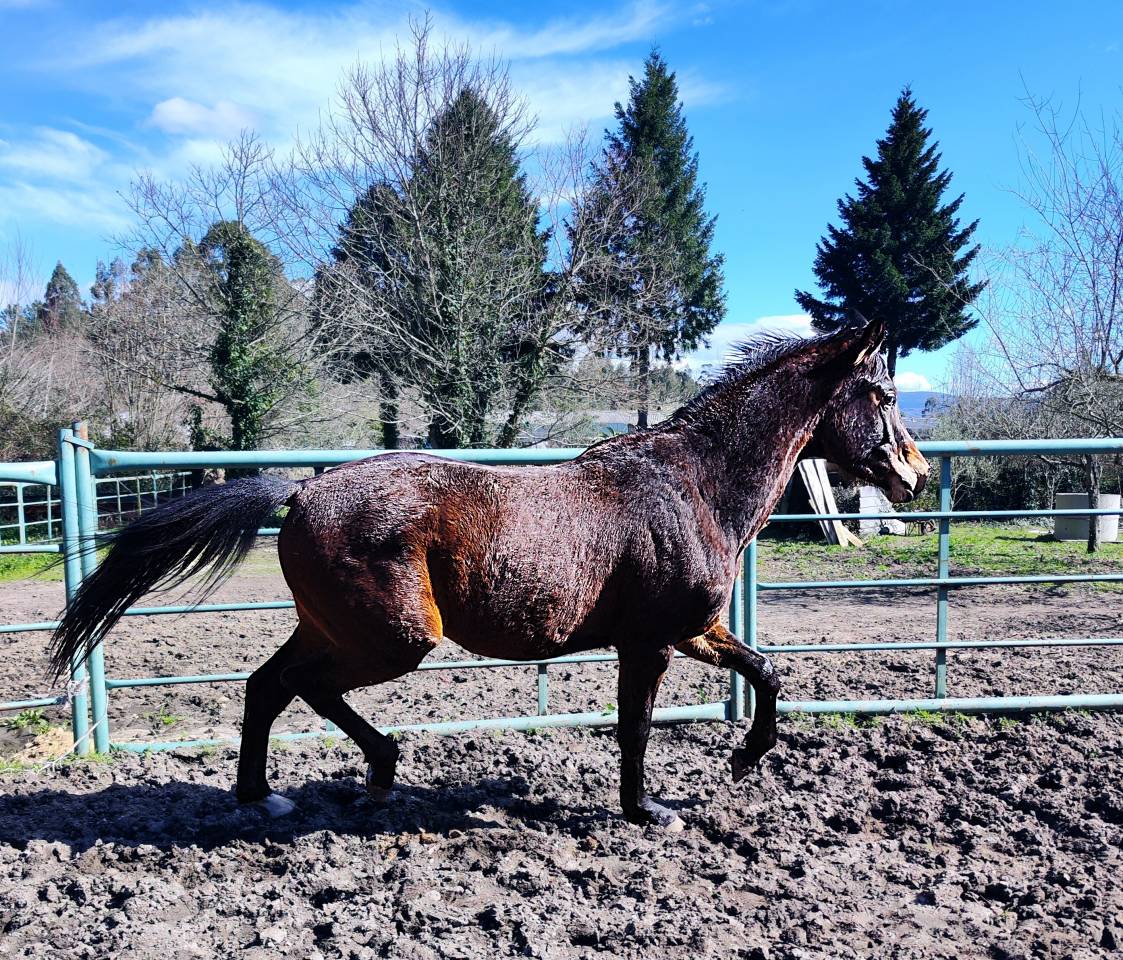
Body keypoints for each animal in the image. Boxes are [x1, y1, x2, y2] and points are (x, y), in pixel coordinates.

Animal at [49, 315, 928, 831]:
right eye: (883, 393)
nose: (915, 477)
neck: (693, 485)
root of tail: (301, 491)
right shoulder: (648, 644)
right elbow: (637, 727)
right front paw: (646, 809)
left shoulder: (694, 631)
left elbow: (767, 671)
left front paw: (743, 760)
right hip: (392, 638)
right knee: (299, 686)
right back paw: (367, 772)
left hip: (338, 627)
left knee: (267, 685)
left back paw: (274, 793)